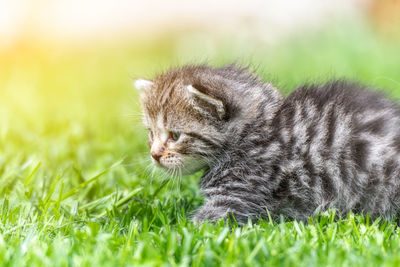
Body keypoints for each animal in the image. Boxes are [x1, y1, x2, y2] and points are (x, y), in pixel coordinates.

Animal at [136, 65, 400, 224]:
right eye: (150, 134)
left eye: (175, 135)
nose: (154, 154)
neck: (256, 130)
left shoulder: (239, 194)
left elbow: (202, 224)